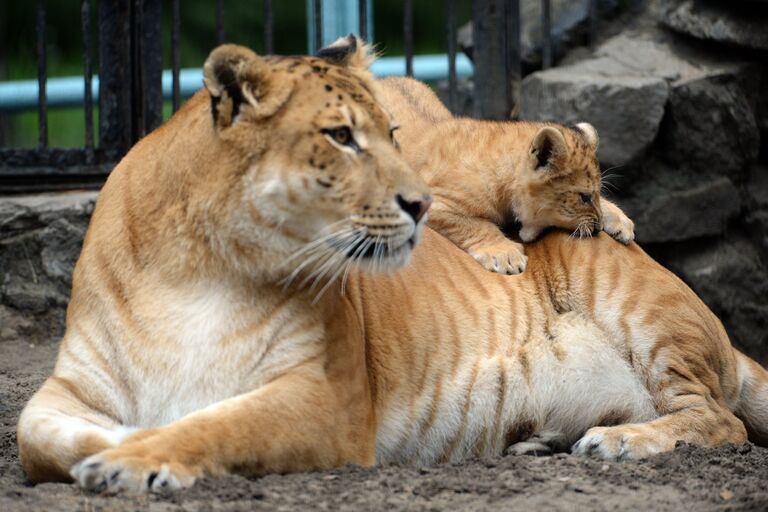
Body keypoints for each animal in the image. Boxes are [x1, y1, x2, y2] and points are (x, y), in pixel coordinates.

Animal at [16, 36, 768, 492]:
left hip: (651, 322)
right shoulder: (68, 391)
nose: (417, 201)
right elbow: (41, 435)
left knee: (719, 421)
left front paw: (138, 456)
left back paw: (619, 442)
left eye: (386, 134)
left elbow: (218, 423)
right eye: (340, 137)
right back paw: (546, 441)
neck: (200, 266)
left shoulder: (330, 402)